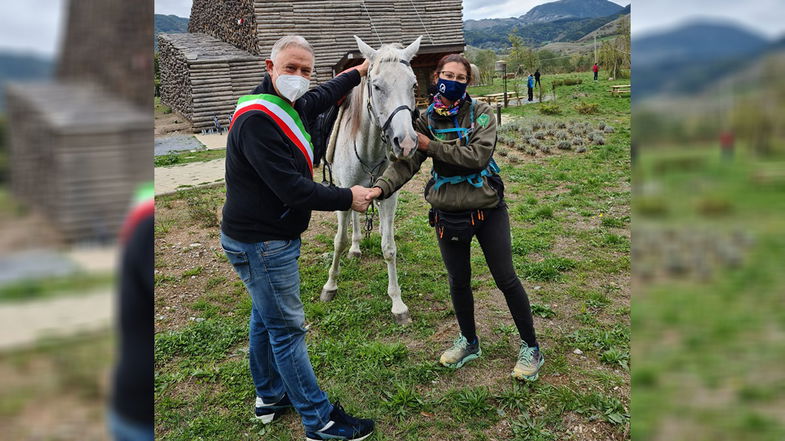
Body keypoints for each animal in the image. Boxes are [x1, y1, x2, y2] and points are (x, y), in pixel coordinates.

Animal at [318, 35, 420, 324]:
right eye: (376, 86)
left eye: (414, 84)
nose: (406, 144)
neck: (368, 149)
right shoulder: (343, 191)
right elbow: (338, 240)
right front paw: (330, 285)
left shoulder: (388, 195)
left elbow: (389, 247)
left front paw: (397, 304)